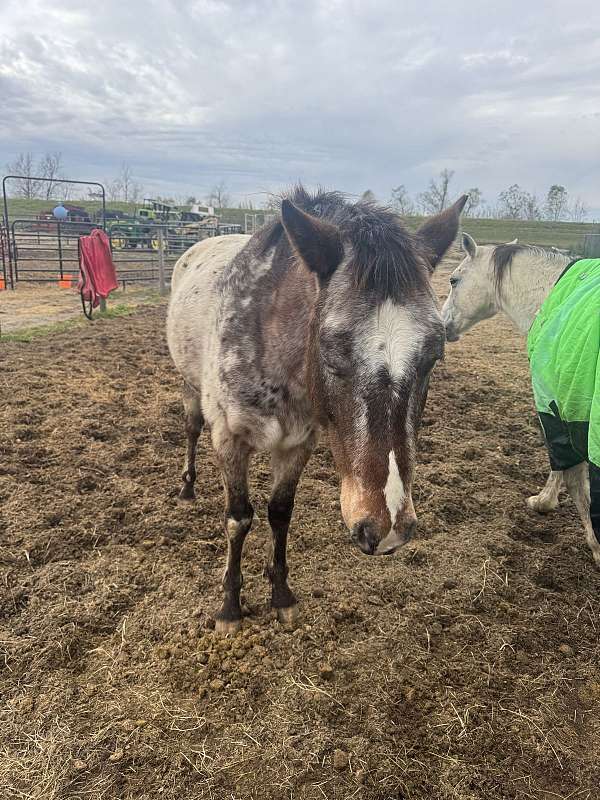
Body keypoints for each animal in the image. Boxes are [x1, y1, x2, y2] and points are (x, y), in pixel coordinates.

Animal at [166, 189, 466, 632]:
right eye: (331, 349)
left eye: (433, 356)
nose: (387, 529)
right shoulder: (230, 440)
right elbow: (238, 518)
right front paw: (229, 608)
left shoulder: (298, 444)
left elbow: (280, 512)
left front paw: (281, 595)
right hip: (190, 387)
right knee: (191, 428)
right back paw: (187, 487)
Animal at [440, 233, 600, 568]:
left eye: (453, 279)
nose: (442, 323)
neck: (551, 294)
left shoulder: (557, 402)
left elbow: (567, 469)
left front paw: (545, 503)